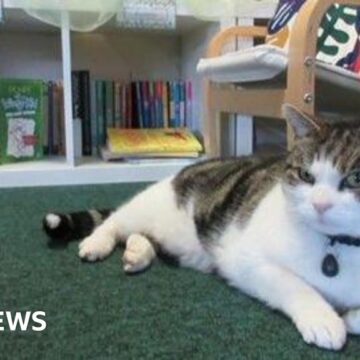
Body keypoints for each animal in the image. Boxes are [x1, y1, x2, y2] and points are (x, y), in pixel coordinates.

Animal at [44, 105, 360, 352]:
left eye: (355, 179)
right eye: (306, 175)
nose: (320, 204)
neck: (337, 246)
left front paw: (349, 318)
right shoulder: (245, 259)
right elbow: (294, 283)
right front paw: (324, 318)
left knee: (143, 236)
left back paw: (137, 253)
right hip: (149, 205)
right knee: (115, 222)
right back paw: (97, 243)